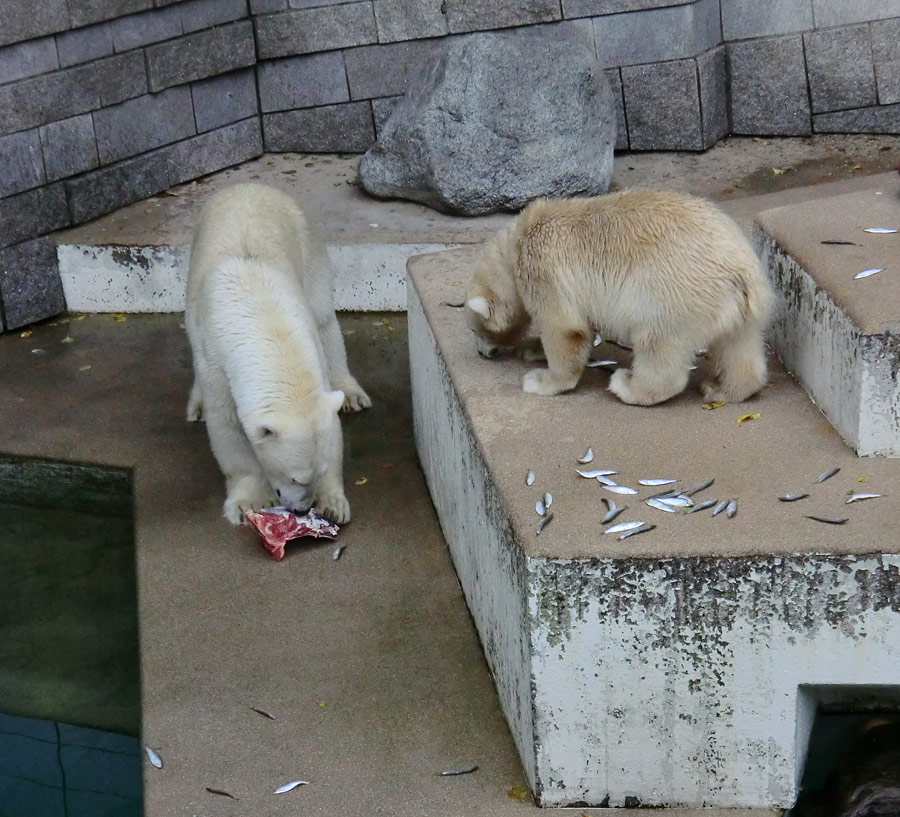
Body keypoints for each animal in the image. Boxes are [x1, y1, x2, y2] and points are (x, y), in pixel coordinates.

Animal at [185, 182, 370, 524]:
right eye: (295, 477)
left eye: (318, 472)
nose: (303, 508)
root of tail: (248, 185)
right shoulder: (217, 362)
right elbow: (228, 427)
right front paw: (249, 502)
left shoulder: (309, 347)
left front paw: (333, 503)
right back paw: (196, 405)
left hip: (307, 240)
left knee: (325, 317)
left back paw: (351, 394)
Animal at [464, 191, 772, 408]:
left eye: (475, 330)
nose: (482, 353)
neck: (514, 247)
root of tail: (742, 270)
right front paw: (530, 349)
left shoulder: (543, 268)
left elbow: (564, 328)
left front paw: (539, 380)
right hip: (737, 305)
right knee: (737, 344)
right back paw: (720, 389)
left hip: (674, 291)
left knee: (659, 343)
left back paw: (628, 385)